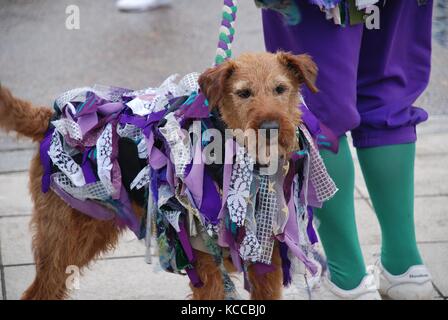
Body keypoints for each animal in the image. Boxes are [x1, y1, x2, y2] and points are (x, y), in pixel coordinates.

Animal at [0, 50, 316, 300]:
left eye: (280, 88)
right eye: (243, 93)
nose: (271, 128)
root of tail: (52, 119)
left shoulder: (267, 262)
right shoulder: (207, 265)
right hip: (63, 239)